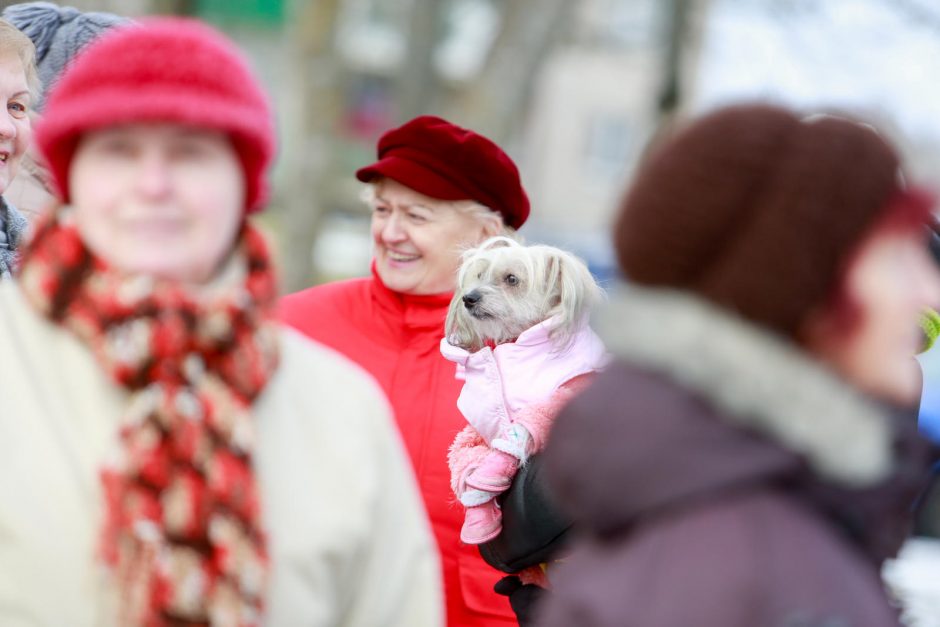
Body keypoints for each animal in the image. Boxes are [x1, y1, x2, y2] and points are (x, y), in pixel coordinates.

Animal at [442, 237, 608, 544]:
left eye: (511, 279)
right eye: (479, 275)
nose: (469, 298)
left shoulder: (565, 396)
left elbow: (522, 428)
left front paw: (492, 471)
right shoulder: (476, 431)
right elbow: (467, 451)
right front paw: (478, 510)